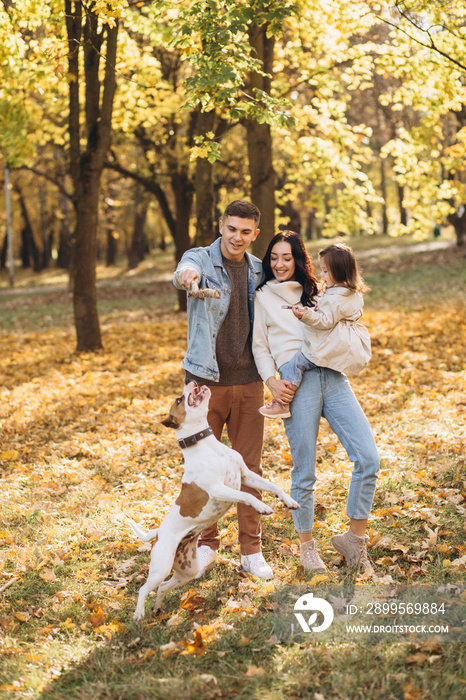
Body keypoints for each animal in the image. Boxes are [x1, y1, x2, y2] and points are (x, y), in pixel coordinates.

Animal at [127, 380, 298, 620]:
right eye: (179, 399)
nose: (192, 381)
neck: (207, 445)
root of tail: (159, 532)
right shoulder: (218, 489)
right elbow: (246, 496)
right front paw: (262, 506)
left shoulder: (246, 475)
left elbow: (273, 486)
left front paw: (289, 501)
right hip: (161, 567)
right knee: (144, 588)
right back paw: (139, 614)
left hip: (187, 571)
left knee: (162, 587)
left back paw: (158, 608)